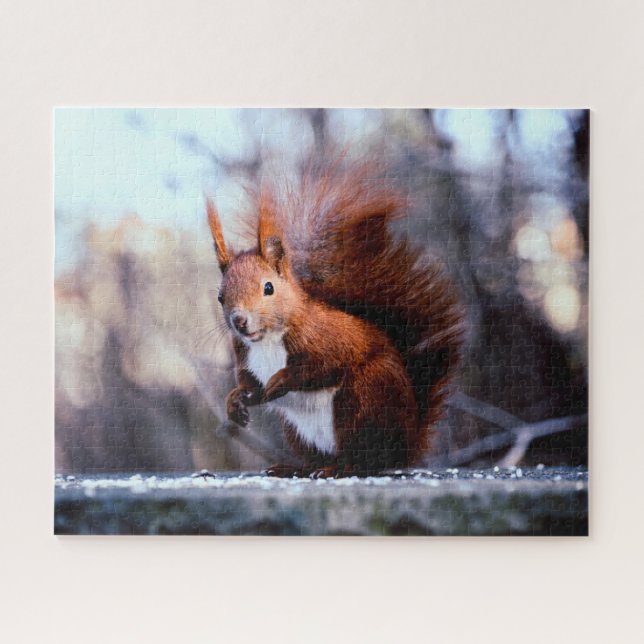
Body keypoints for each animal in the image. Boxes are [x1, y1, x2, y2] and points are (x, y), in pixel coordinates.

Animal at [207, 160, 464, 478]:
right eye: (220, 296)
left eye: (268, 288)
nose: (239, 321)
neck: (268, 341)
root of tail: (406, 447)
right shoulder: (245, 355)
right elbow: (250, 384)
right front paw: (236, 400)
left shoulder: (328, 339)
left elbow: (322, 367)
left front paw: (281, 380)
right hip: (298, 432)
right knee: (317, 459)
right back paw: (297, 468)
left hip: (361, 402)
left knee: (366, 461)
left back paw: (339, 468)